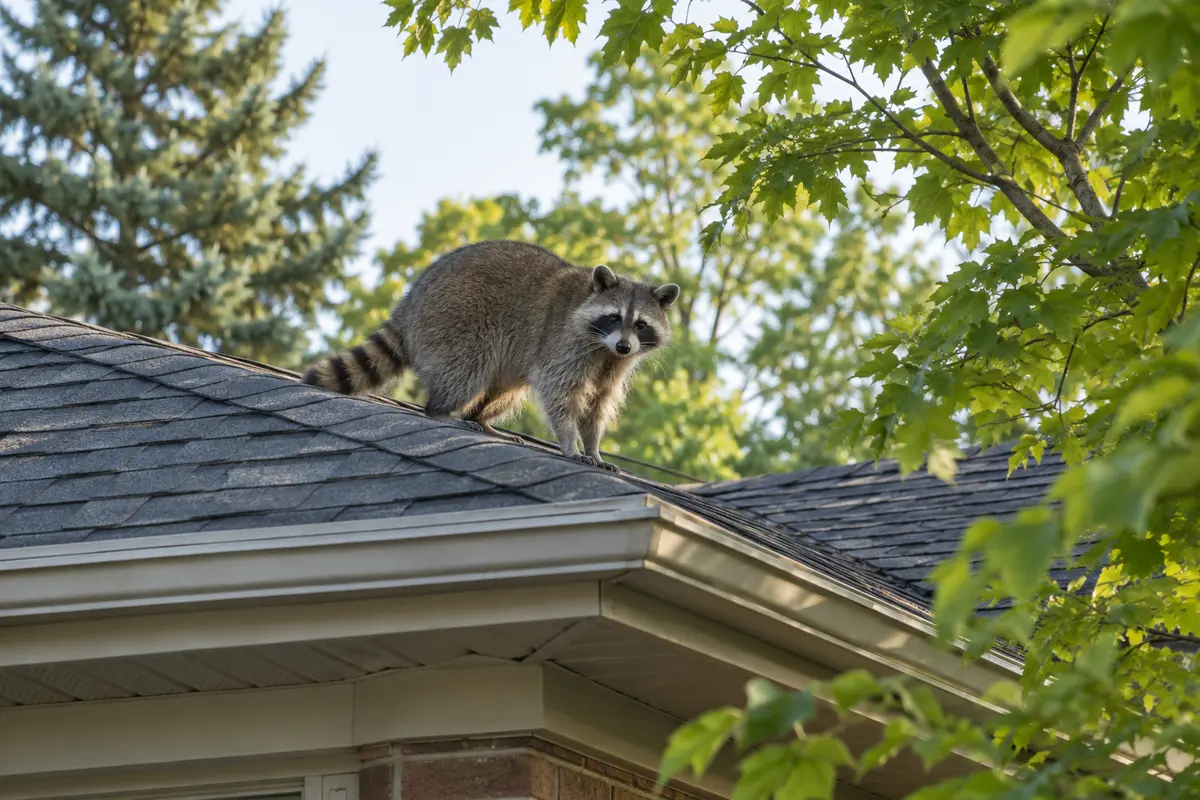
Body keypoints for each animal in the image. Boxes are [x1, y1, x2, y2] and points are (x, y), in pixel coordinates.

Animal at [302, 240, 680, 472]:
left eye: (641, 324)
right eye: (614, 317)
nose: (624, 346)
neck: (604, 347)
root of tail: (408, 306)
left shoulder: (614, 364)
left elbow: (599, 403)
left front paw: (593, 446)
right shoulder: (564, 342)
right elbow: (559, 391)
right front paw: (570, 443)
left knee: (508, 389)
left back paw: (481, 416)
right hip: (455, 319)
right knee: (467, 368)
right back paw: (441, 410)